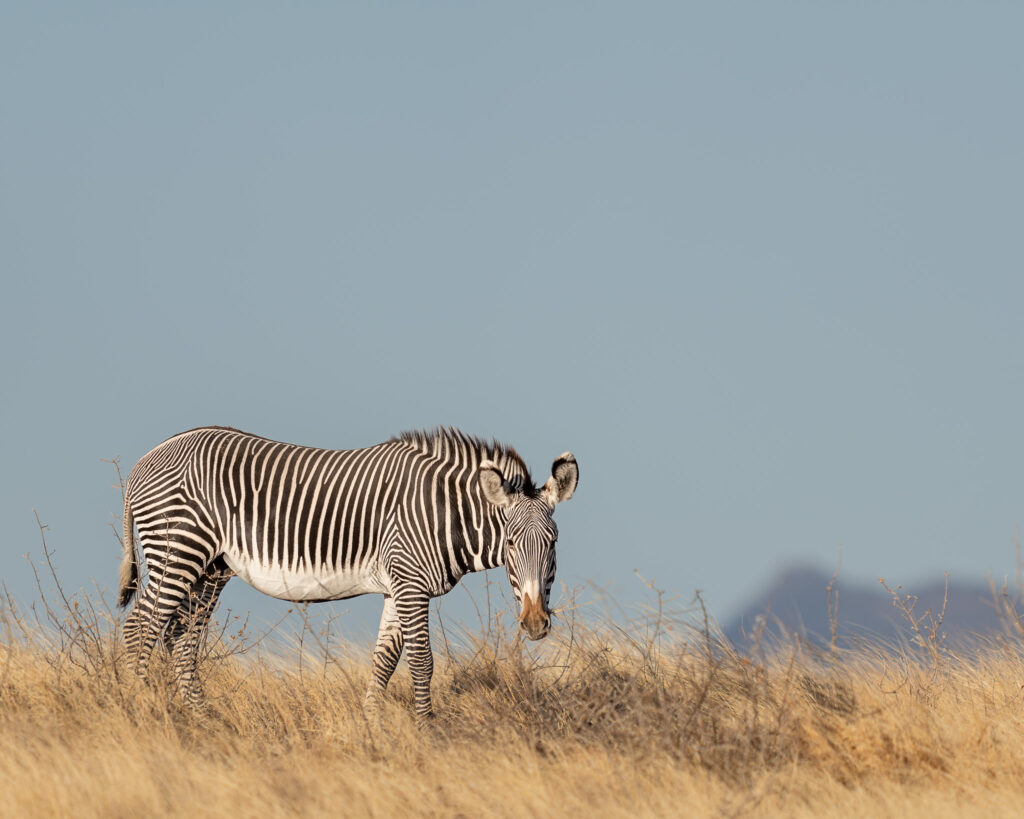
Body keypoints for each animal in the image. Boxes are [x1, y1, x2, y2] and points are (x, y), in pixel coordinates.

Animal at [118, 426, 578, 719]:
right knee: (140, 629)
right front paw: (428, 733)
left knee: (180, 640)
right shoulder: (411, 583)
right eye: (511, 544)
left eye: (554, 542)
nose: (535, 624)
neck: (443, 514)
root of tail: (146, 459)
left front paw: (372, 732)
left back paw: (202, 720)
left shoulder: (397, 587)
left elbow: (384, 661)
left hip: (209, 570)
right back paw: (139, 711)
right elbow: (422, 662)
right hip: (178, 551)